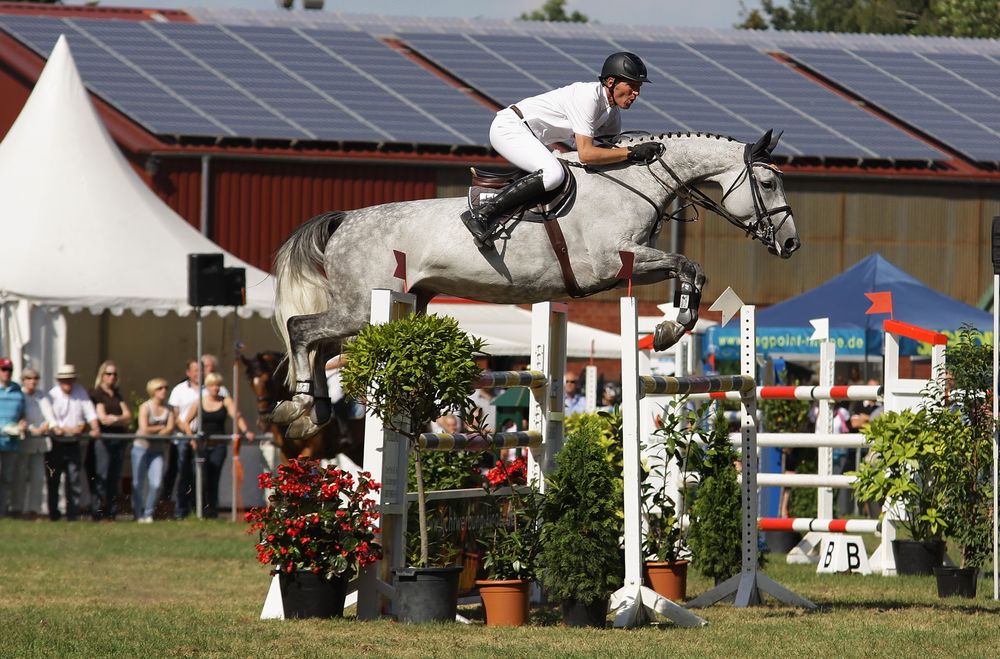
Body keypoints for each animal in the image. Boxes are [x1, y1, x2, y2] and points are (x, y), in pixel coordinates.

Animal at [270, 130, 800, 438]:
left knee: (320, 345)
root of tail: (344, 220)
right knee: (302, 330)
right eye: (768, 184)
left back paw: (312, 414)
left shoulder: (630, 266)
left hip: (391, 305)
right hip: (364, 307)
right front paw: (671, 329)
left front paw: (673, 326)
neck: (634, 184)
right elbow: (687, 264)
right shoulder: (610, 263)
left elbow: (691, 270)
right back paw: (296, 406)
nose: (791, 244)